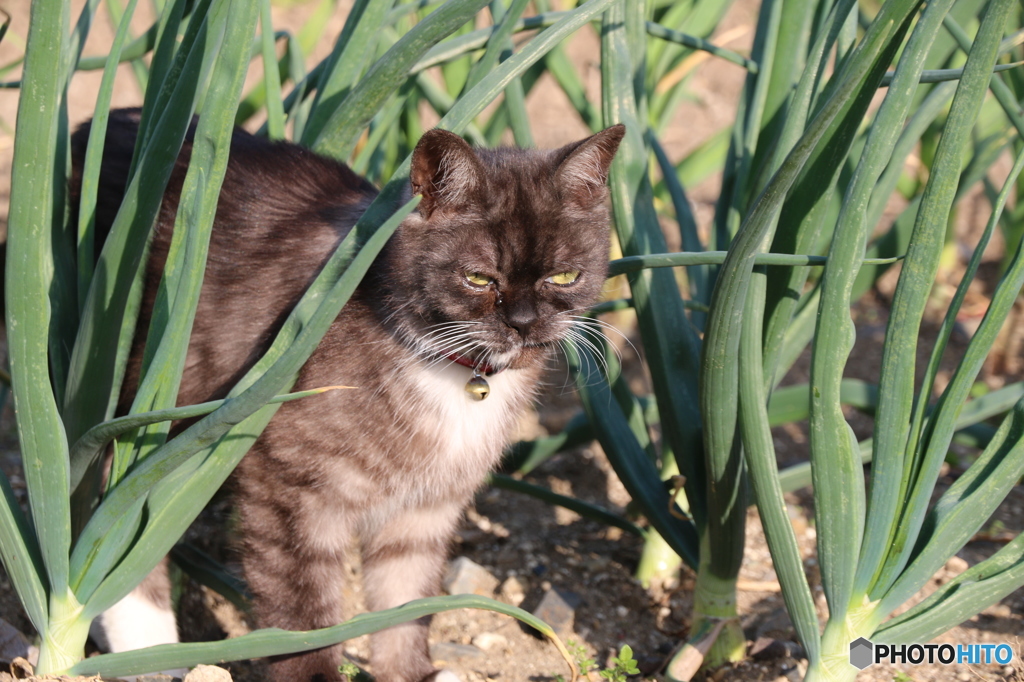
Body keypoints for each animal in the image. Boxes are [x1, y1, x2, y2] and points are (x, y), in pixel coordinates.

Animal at [70, 109, 622, 679]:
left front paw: (412, 672)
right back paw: (143, 650)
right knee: (107, 533)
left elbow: (406, 601)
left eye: (564, 275)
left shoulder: (426, 510)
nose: (524, 322)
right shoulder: (288, 491)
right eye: (477, 278)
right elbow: (302, 614)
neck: (456, 374)